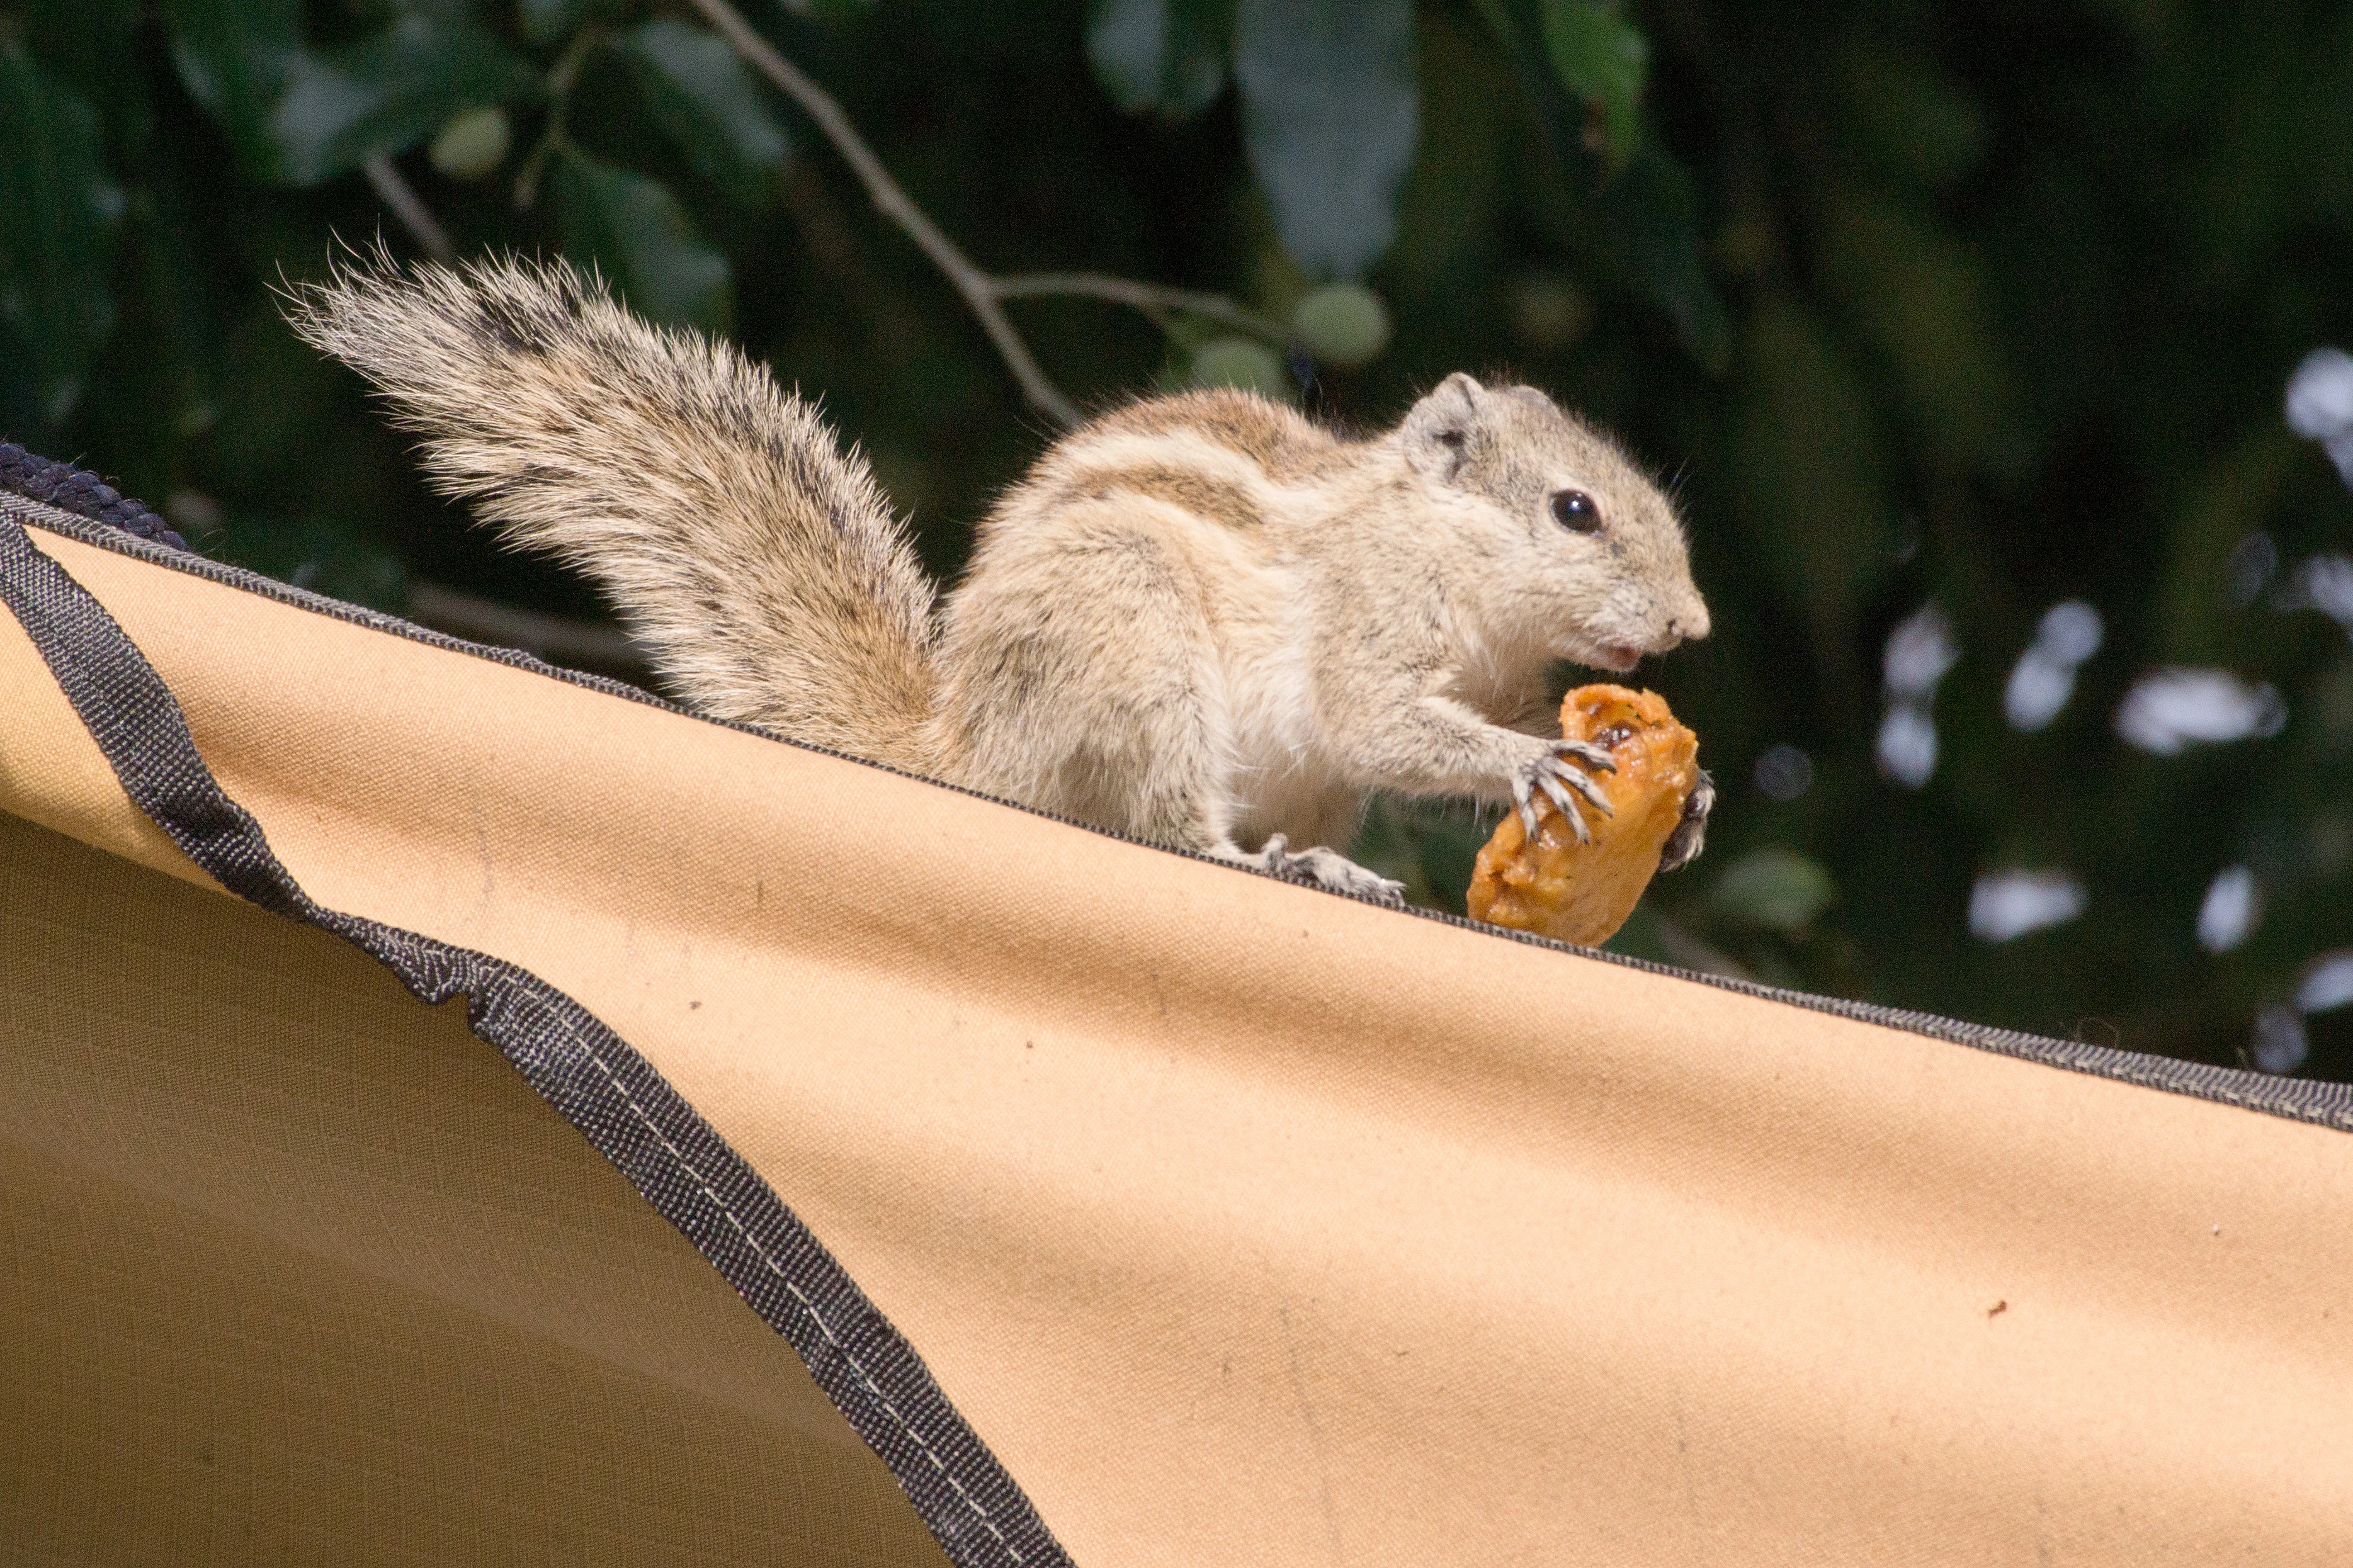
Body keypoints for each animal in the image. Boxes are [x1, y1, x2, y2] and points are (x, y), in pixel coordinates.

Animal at [286, 255, 1713, 904]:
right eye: (1574, 510)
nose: (1690, 625)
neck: (1445, 561)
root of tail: (963, 749)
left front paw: (1680, 793)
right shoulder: (1369, 624)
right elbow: (1390, 720)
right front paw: (1536, 765)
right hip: (1136, 646)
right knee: (1162, 827)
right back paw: (1284, 867)